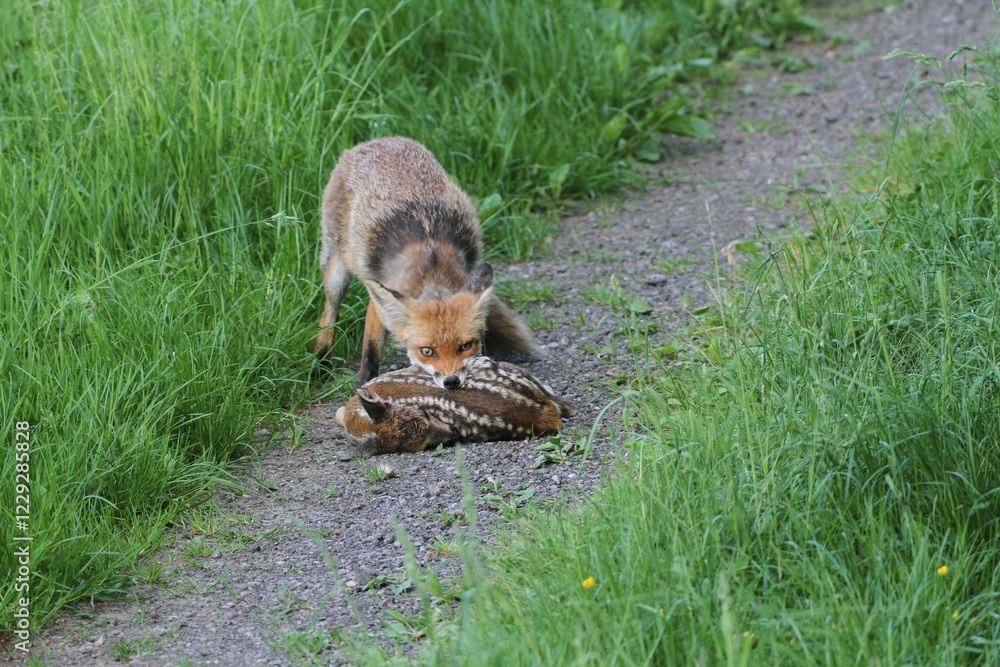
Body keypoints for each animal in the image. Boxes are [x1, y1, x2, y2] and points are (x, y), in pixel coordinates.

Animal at [315, 137, 541, 389]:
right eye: (427, 351)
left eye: (465, 346)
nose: (452, 382)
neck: (432, 271)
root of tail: (378, 140)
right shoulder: (379, 304)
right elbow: (370, 353)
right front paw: (363, 384)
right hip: (337, 272)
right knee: (329, 313)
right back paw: (320, 359)